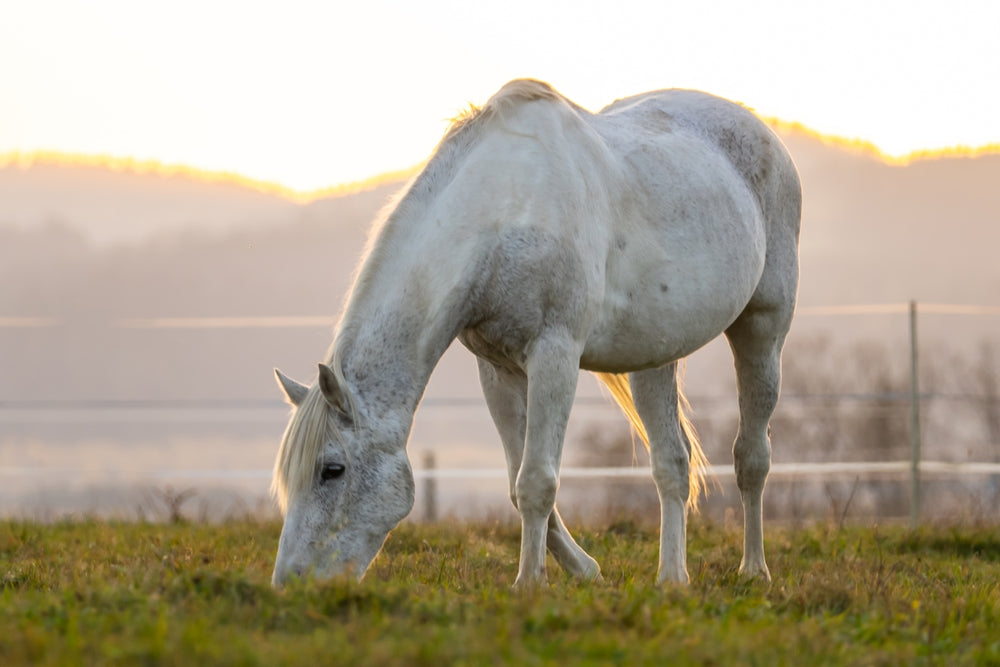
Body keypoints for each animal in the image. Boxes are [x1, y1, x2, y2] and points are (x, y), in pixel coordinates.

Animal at [270, 79, 801, 588]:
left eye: (332, 470)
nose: (291, 582)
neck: (504, 213)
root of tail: (760, 127)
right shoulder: (498, 369)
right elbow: (515, 481)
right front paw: (584, 570)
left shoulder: (554, 356)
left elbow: (538, 480)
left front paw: (529, 582)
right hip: (654, 356)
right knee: (671, 463)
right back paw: (671, 578)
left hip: (763, 330)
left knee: (751, 457)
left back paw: (754, 570)